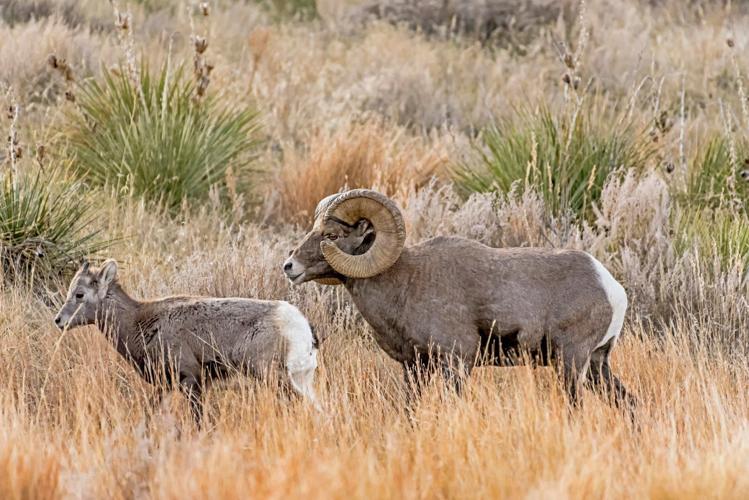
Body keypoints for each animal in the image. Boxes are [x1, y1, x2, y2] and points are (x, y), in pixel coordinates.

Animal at [54, 260, 319, 425]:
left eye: (79, 294)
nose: (58, 320)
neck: (139, 324)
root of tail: (298, 324)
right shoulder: (165, 387)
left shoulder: (191, 381)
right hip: (299, 379)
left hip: (273, 376)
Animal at [283, 189, 635, 413]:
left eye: (331, 236)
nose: (289, 267)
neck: (405, 284)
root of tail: (611, 287)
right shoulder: (415, 367)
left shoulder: (457, 361)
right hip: (596, 364)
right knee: (628, 403)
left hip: (571, 361)